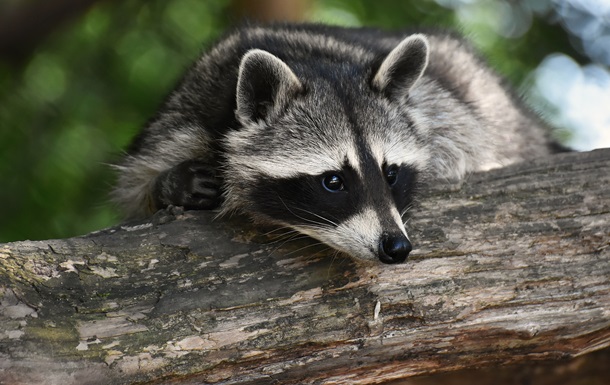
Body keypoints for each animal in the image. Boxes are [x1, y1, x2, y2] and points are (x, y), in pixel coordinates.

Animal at [111, 22, 560, 264]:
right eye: (333, 181)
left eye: (391, 173)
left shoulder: (444, 111)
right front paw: (171, 184)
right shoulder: (183, 114)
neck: (310, 62)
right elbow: (136, 184)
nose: (396, 247)